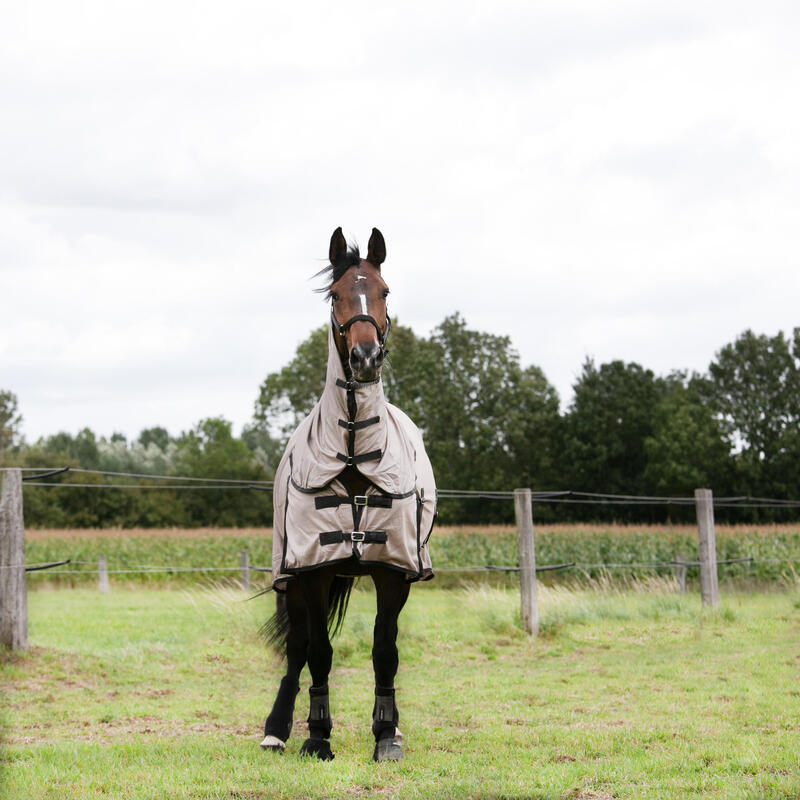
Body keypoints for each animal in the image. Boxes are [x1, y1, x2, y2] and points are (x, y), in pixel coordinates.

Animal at [260, 227, 438, 764]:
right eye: (336, 294)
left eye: (384, 291)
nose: (365, 358)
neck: (356, 454)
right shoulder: (313, 571)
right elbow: (318, 651)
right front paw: (317, 736)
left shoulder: (394, 572)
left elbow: (386, 651)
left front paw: (386, 733)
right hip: (292, 577)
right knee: (298, 647)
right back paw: (276, 729)